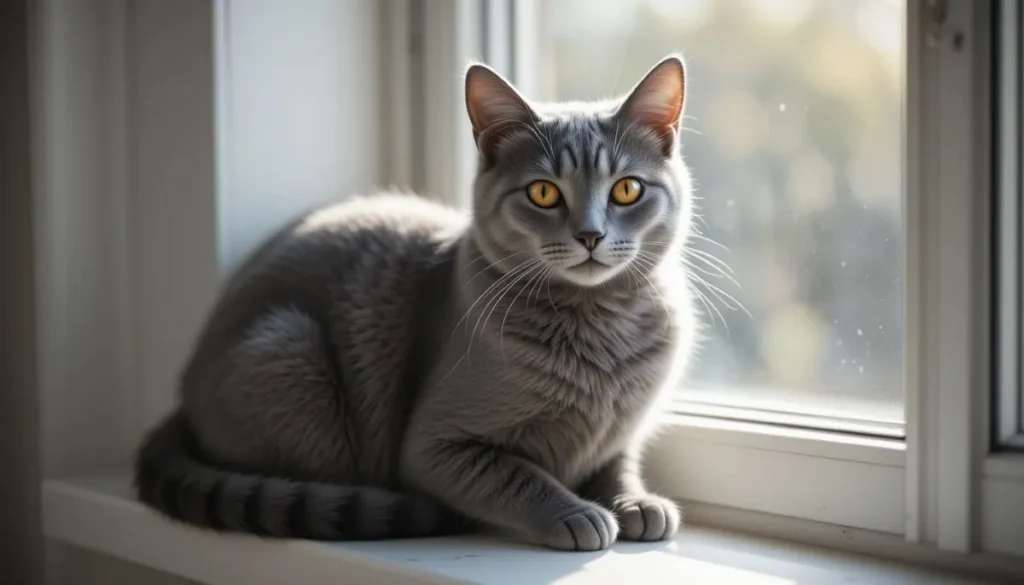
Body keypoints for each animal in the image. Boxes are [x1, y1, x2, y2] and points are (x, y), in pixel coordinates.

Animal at [136, 56, 696, 553]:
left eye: (627, 189)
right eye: (542, 192)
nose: (590, 235)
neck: (602, 322)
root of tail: (184, 393)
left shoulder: (621, 433)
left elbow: (617, 463)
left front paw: (635, 502)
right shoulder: (435, 447)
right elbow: (521, 475)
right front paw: (577, 512)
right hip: (289, 348)